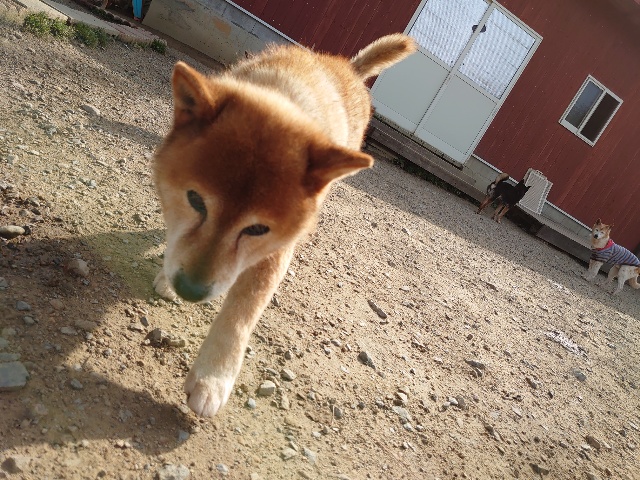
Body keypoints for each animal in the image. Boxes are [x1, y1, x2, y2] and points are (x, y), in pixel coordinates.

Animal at [152, 35, 416, 416]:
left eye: (257, 230)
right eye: (196, 201)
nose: (190, 290)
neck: (284, 94)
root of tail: (348, 68)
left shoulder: (274, 252)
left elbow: (241, 314)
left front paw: (212, 379)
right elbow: (176, 240)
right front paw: (166, 274)